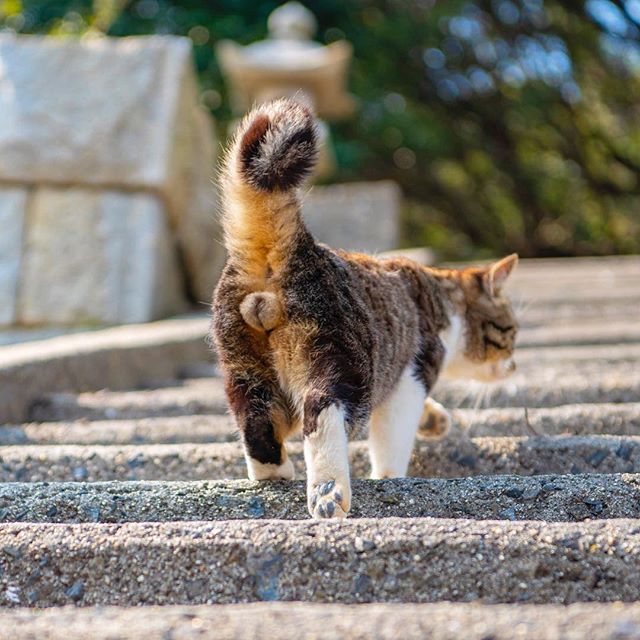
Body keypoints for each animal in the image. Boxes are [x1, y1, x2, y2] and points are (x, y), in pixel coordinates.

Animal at [211, 99, 520, 520]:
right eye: (511, 334)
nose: (513, 366)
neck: (440, 294)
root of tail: (292, 250)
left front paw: (434, 419)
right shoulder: (413, 372)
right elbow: (392, 438)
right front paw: (389, 477)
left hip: (244, 369)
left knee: (256, 422)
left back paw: (275, 473)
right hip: (344, 364)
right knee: (320, 415)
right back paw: (328, 494)